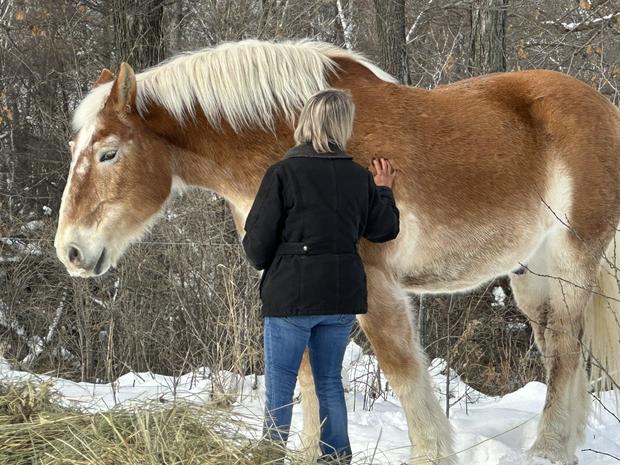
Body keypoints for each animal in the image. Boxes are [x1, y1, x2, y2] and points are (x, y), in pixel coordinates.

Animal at [54, 40, 620, 464]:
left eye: (108, 154)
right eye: (76, 150)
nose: (71, 252)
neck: (304, 143)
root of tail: (601, 107)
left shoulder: (375, 283)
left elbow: (402, 369)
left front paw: (431, 453)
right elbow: (306, 372)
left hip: (571, 259)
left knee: (565, 349)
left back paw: (547, 450)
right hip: (532, 275)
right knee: (560, 351)